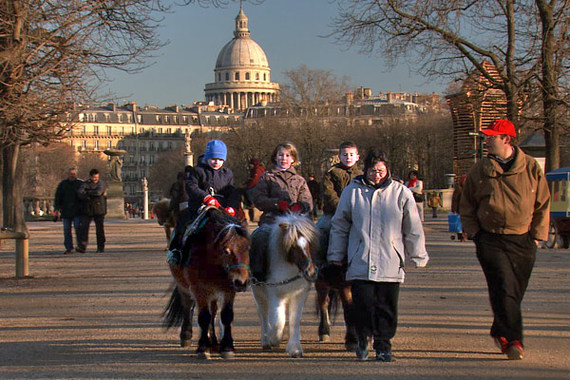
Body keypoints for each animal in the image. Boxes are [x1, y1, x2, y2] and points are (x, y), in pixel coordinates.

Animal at [161, 206, 247, 358]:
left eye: (248, 247)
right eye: (226, 250)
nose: (241, 282)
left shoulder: (228, 289)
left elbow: (226, 315)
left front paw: (227, 347)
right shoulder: (199, 289)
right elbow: (203, 317)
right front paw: (203, 347)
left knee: (213, 311)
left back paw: (214, 342)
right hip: (184, 287)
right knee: (188, 306)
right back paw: (187, 335)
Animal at [251, 215, 318, 358]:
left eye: (308, 244)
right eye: (293, 246)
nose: (310, 272)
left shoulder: (299, 295)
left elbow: (294, 320)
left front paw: (295, 349)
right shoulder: (275, 294)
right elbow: (278, 321)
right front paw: (274, 339)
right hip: (258, 291)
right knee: (263, 314)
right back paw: (266, 341)